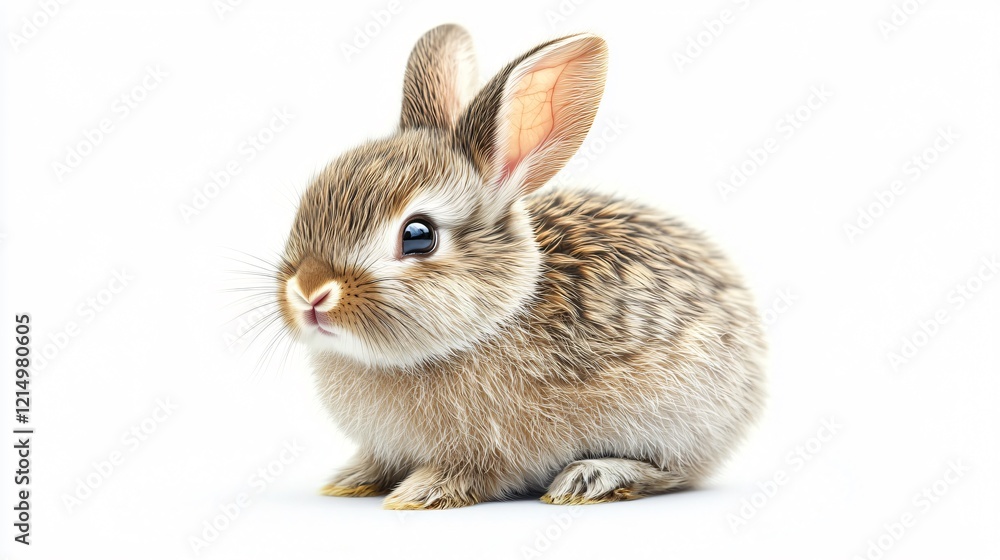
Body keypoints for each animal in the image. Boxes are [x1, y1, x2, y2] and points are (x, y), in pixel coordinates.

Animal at [274, 24, 766, 509]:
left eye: (418, 235)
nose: (310, 291)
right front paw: (352, 480)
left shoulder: (496, 450)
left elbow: (476, 473)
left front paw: (420, 492)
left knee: (675, 472)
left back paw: (591, 478)